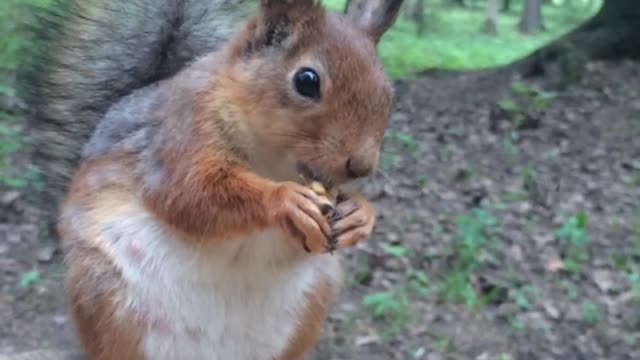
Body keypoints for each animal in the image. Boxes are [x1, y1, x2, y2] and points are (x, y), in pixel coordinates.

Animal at [28, 0, 400, 360]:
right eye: (307, 81)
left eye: (388, 91)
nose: (362, 165)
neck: (274, 160)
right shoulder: (181, 131)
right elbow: (192, 194)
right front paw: (286, 201)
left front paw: (360, 215)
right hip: (103, 296)